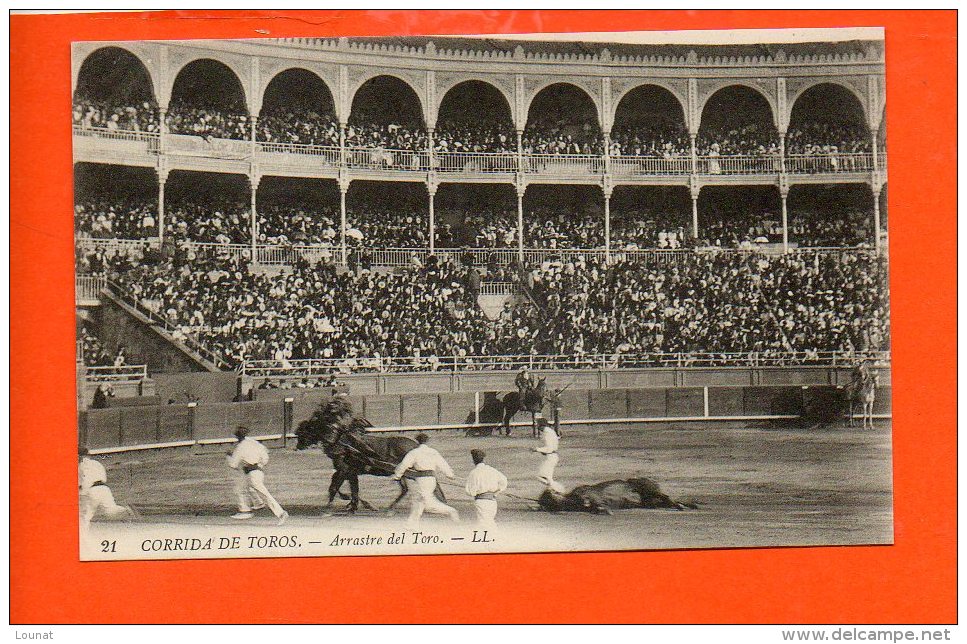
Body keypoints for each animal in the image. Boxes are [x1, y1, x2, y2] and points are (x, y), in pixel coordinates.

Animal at [294, 398, 446, 512]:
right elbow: (350, 489)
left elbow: (336, 487)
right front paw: (353, 505)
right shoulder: (349, 472)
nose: (298, 446)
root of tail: (415, 445)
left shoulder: (345, 470)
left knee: (416, 485)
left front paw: (331, 507)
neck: (342, 441)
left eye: (307, 429)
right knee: (406, 489)